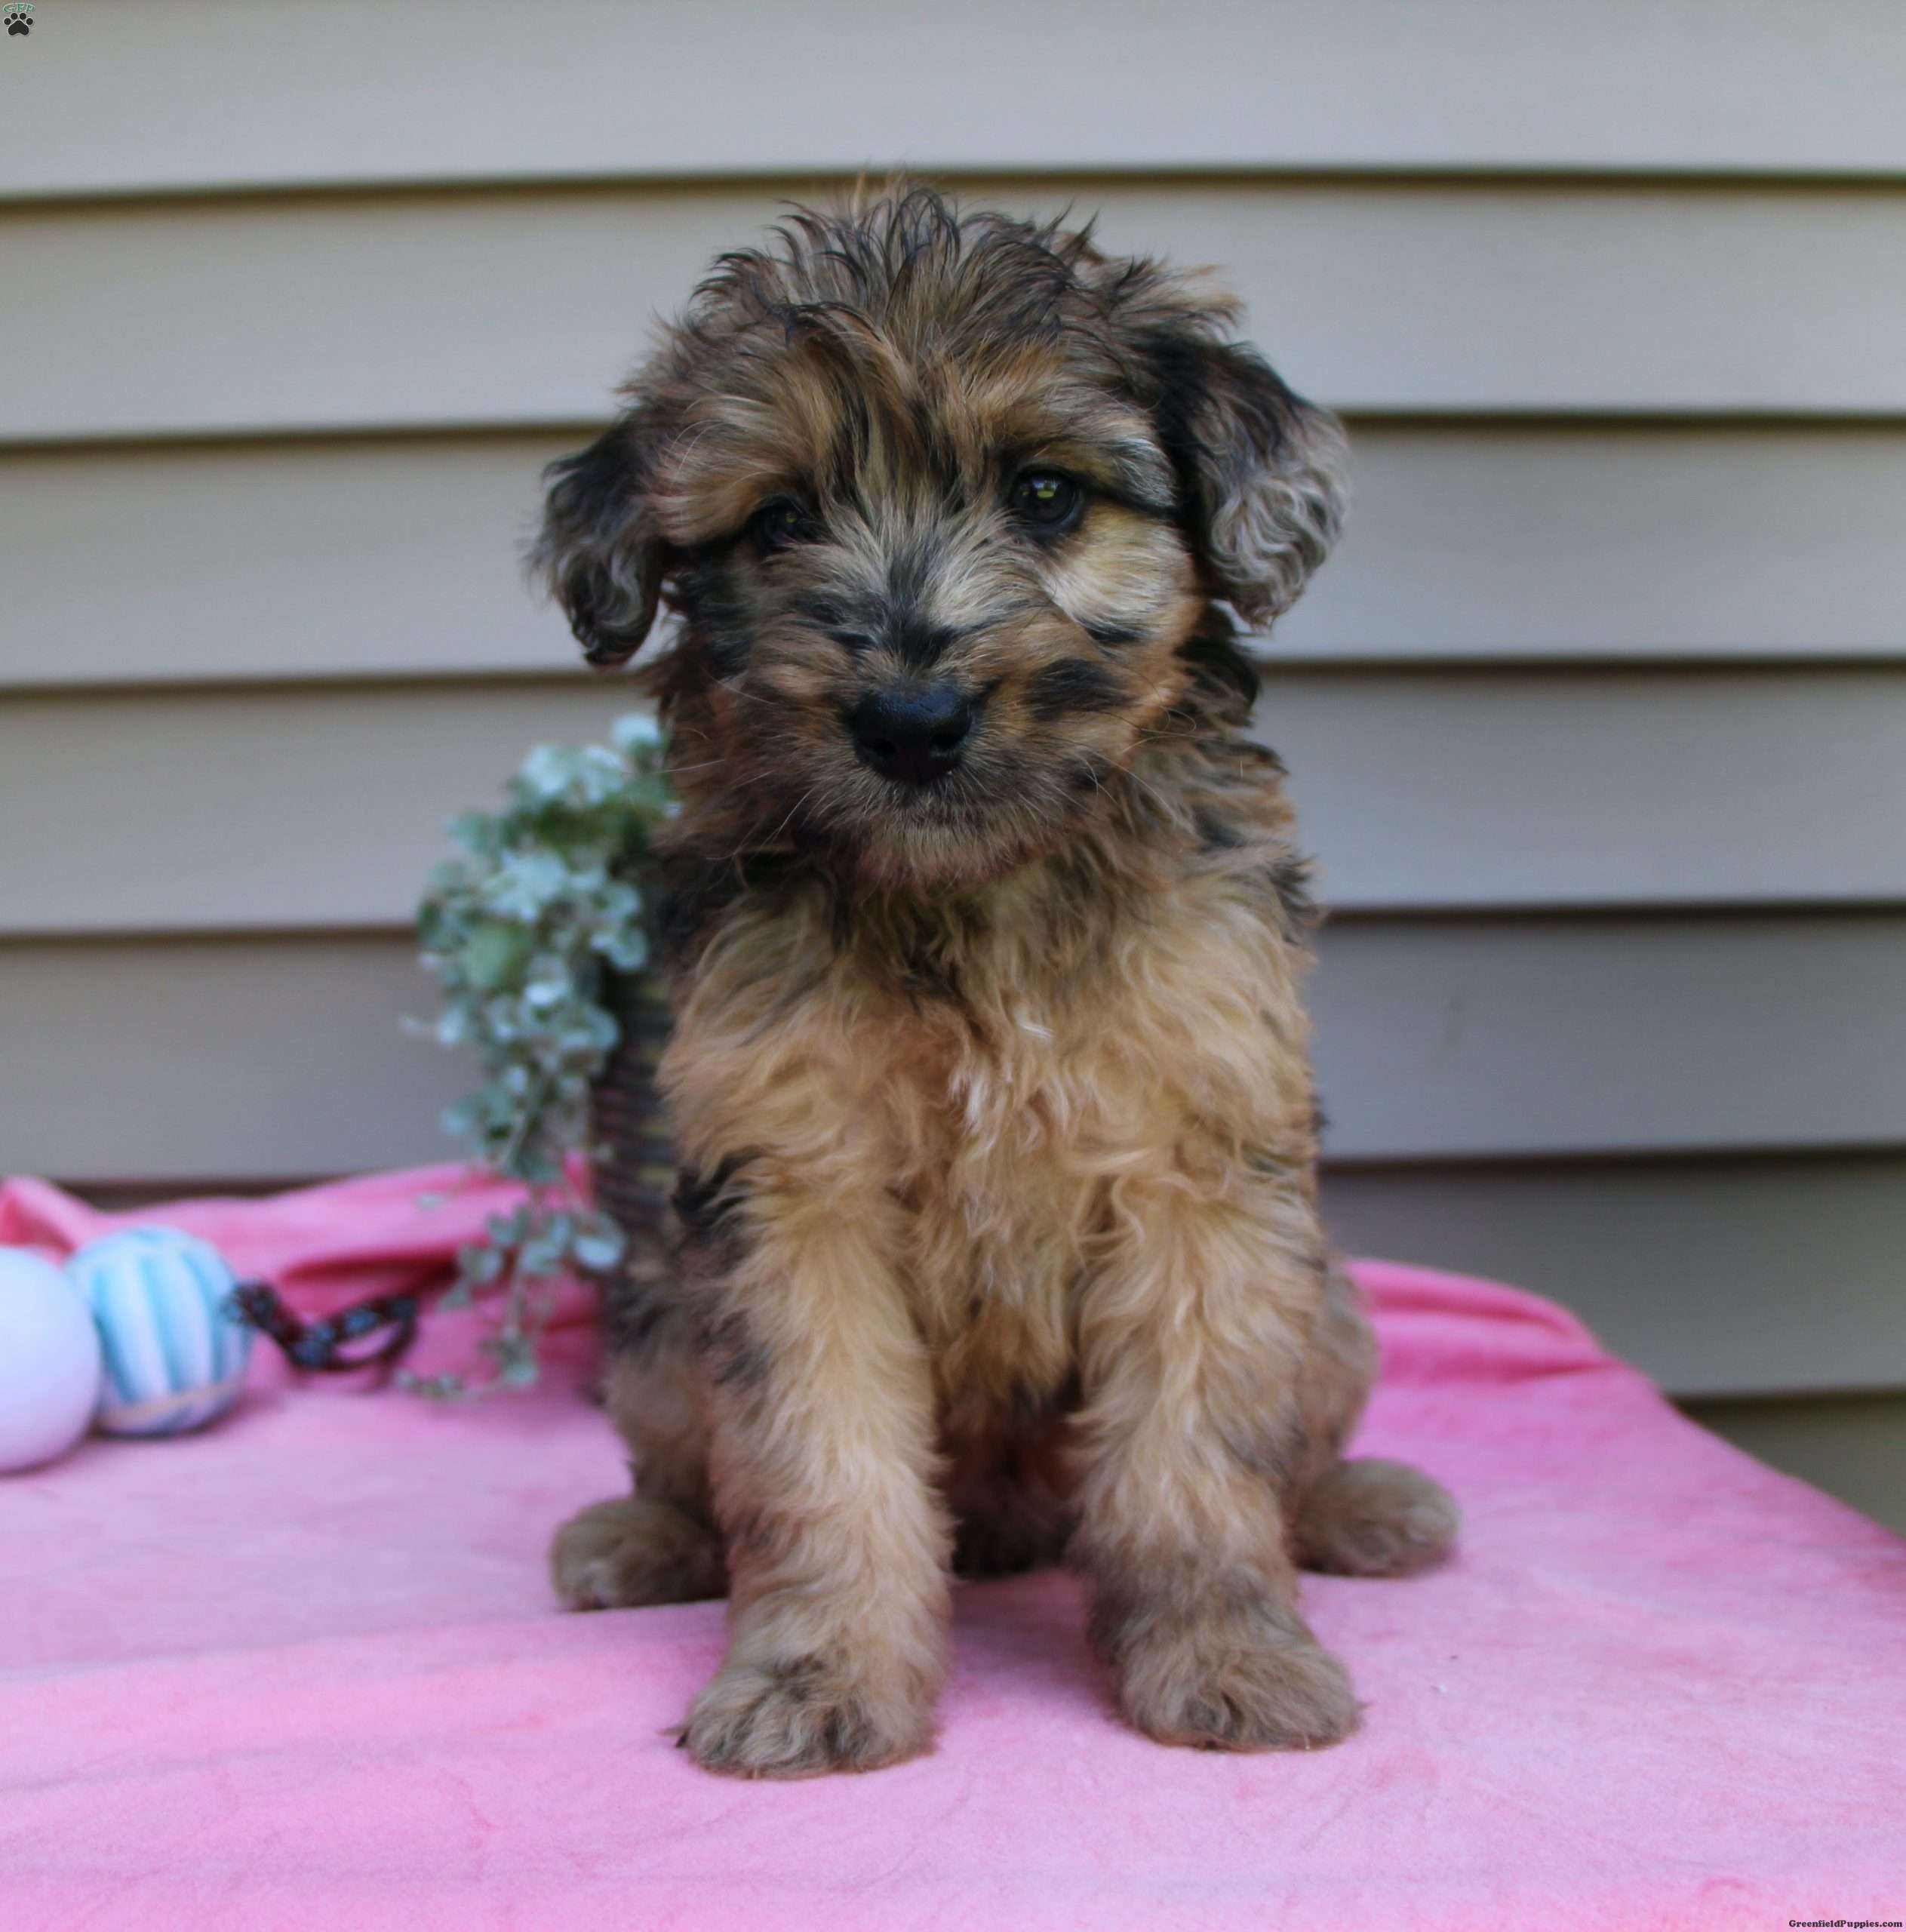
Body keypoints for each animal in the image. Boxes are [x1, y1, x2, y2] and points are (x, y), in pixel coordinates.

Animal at [536, 184, 1459, 1777]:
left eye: (1045, 494)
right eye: (779, 519)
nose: (911, 719)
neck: (977, 891)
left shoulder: (1200, 1165)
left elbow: (1197, 1455)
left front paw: (1225, 1652)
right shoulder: (793, 1184)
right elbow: (819, 1460)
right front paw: (814, 1676)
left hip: (1333, 1307)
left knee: (1293, 1444)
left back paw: (1360, 1510)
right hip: (658, 1316)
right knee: (687, 1468)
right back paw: (640, 1540)